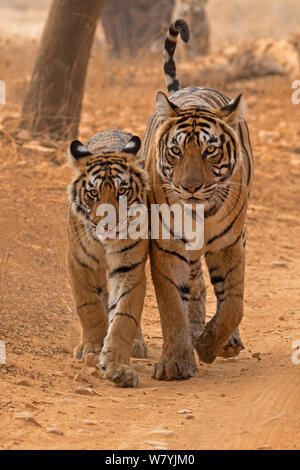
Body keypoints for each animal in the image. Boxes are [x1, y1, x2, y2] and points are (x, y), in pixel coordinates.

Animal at [67, 129, 149, 386]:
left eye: (121, 191)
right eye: (93, 193)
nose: (108, 224)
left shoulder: (130, 267)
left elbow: (125, 316)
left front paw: (118, 366)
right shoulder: (80, 261)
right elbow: (89, 304)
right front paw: (92, 346)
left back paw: (137, 344)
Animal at [141, 20, 253, 382]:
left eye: (210, 151)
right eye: (175, 151)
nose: (190, 187)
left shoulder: (230, 244)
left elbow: (233, 303)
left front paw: (209, 345)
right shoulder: (166, 247)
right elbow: (172, 306)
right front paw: (176, 362)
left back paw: (222, 341)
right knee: (196, 287)